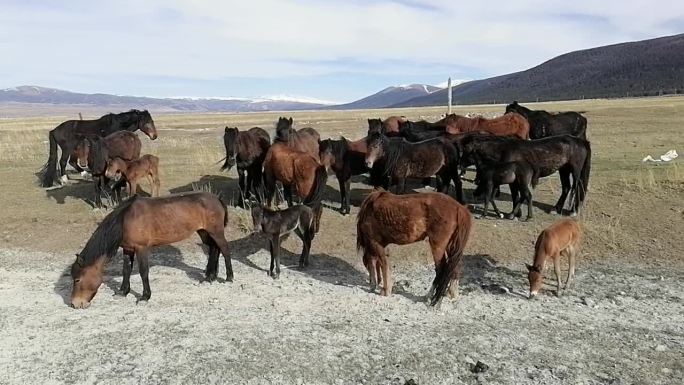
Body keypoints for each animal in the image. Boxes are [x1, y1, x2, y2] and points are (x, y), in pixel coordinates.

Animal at [70, 192, 234, 308]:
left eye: (77, 279)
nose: (75, 304)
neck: (125, 220)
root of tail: (217, 198)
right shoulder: (128, 249)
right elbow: (126, 270)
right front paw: (123, 292)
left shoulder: (141, 249)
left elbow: (143, 272)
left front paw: (144, 297)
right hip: (204, 232)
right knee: (214, 249)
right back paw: (209, 277)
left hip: (216, 232)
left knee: (224, 249)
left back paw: (229, 277)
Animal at [462, 134, 592, 214]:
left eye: (466, 151)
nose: (460, 165)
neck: (503, 150)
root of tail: (580, 141)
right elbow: (519, 194)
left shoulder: (514, 180)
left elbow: (516, 195)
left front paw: (515, 214)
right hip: (563, 170)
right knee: (566, 188)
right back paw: (556, 209)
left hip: (575, 171)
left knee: (577, 187)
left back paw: (573, 211)